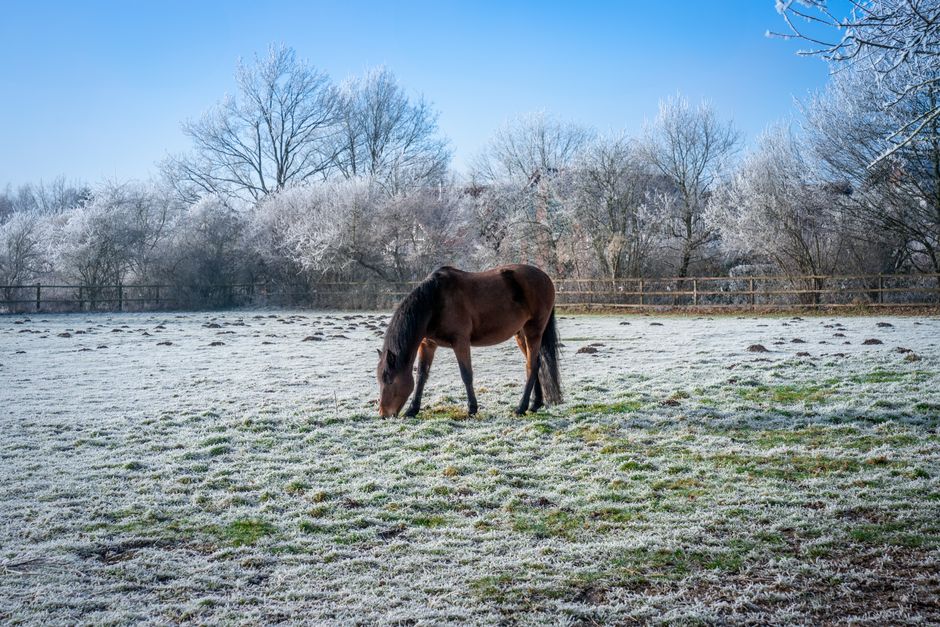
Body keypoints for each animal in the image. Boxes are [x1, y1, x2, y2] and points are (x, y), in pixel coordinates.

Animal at [376, 264, 562, 417]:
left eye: (390, 380)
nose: (384, 414)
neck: (435, 301)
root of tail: (545, 277)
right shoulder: (428, 344)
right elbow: (422, 375)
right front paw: (412, 410)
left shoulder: (460, 342)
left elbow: (466, 374)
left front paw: (472, 408)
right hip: (521, 334)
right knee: (537, 363)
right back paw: (535, 404)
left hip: (533, 332)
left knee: (531, 366)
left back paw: (521, 408)